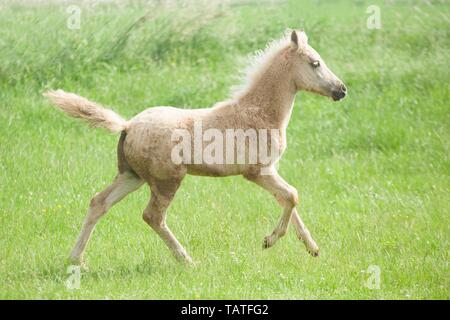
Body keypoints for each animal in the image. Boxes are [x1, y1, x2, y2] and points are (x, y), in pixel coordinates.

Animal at [44, 30, 344, 264]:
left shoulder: (270, 169)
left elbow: (287, 201)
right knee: (152, 216)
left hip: (132, 176)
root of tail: (127, 125)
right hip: (167, 181)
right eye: (315, 63)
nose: (341, 90)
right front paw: (269, 241)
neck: (259, 113)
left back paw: (75, 259)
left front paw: (312, 248)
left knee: (99, 203)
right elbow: (292, 195)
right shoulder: (257, 171)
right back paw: (187, 260)